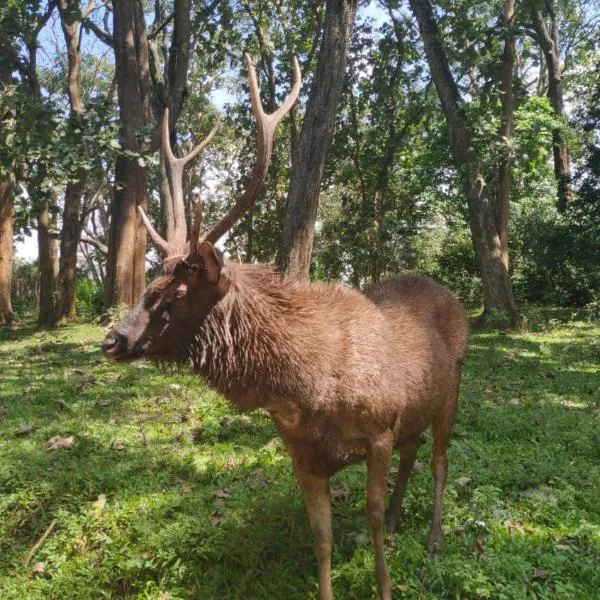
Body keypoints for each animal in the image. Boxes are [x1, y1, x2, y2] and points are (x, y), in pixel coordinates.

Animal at [102, 55, 468, 600]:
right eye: (151, 281)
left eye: (178, 293)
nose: (113, 338)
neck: (303, 390)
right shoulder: (302, 454)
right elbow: (322, 538)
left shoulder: (380, 428)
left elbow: (369, 517)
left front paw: (385, 584)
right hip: (416, 410)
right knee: (416, 450)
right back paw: (402, 519)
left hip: (450, 393)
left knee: (441, 461)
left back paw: (434, 538)